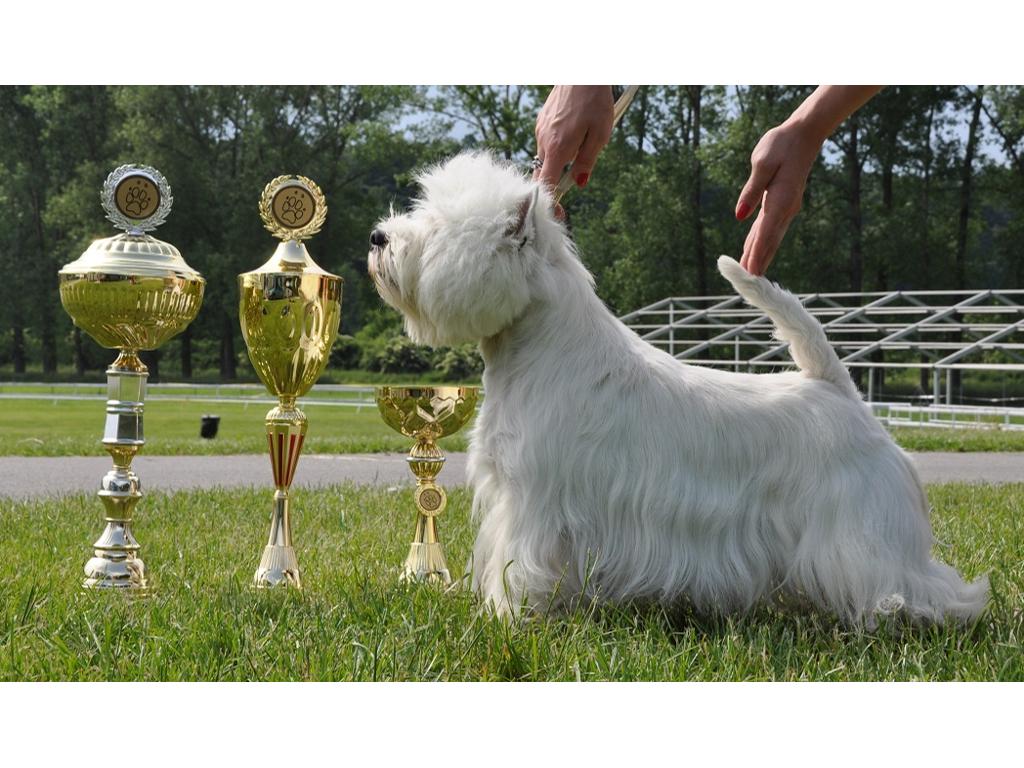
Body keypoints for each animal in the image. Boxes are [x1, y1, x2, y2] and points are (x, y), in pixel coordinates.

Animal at [368, 151, 983, 630]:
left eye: (439, 226)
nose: (378, 237)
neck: (536, 349)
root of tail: (837, 389)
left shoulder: (533, 501)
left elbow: (518, 565)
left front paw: (507, 616)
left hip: (858, 525)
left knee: (912, 578)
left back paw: (912, 611)